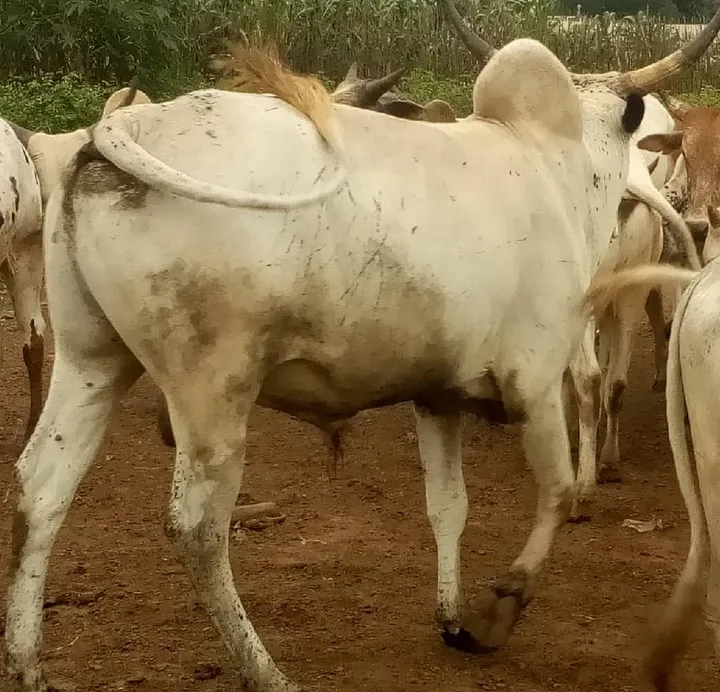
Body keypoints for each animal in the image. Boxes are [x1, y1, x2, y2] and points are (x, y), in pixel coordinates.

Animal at [5, 38, 648, 691]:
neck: (550, 163)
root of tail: (129, 125)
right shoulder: (535, 385)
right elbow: (558, 494)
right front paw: (502, 608)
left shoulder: (437, 396)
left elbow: (449, 506)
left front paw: (451, 617)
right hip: (212, 392)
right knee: (197, 529)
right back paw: (264, 671)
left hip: (91, 361)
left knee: (40, 487)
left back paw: (28, 662)